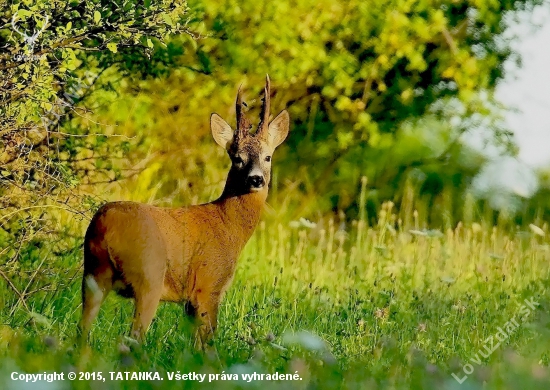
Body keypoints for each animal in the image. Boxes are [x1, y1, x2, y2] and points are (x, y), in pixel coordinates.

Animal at [80, 76, 292, 348]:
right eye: (237, 158)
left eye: (267, 157)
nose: (256, 179)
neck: (228, 225)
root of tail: (105, 224)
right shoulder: (208, 285)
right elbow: (207, 343)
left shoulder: (191, 300)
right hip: (149, 276)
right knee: (132, 337)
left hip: (92, 274)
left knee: (81, 329)